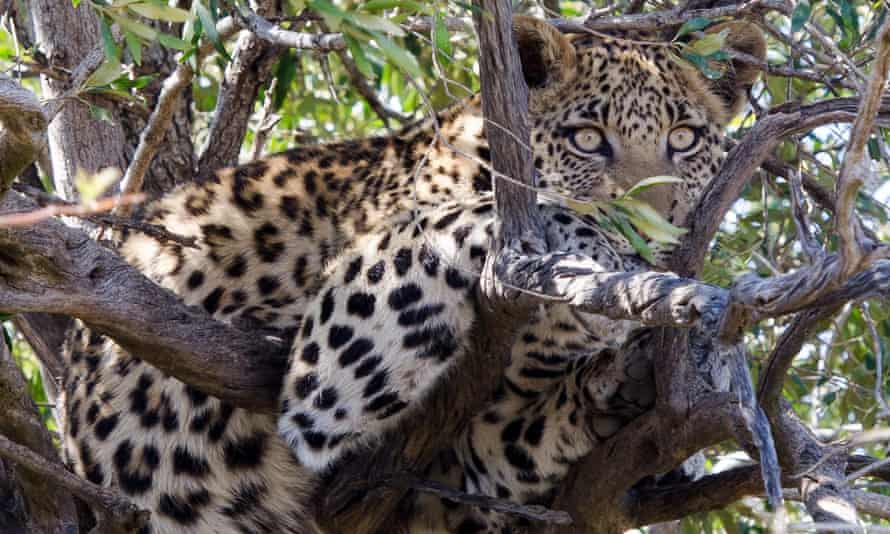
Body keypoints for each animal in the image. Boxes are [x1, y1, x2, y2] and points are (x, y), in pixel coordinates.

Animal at [58, 15, 766, 534]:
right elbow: (472, 217)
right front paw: (601, 258)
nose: (658, 233)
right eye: (588, 138)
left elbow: (523, 435)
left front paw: (626, 382)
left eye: (684, 139)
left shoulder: (463, 470)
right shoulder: (328, 366)